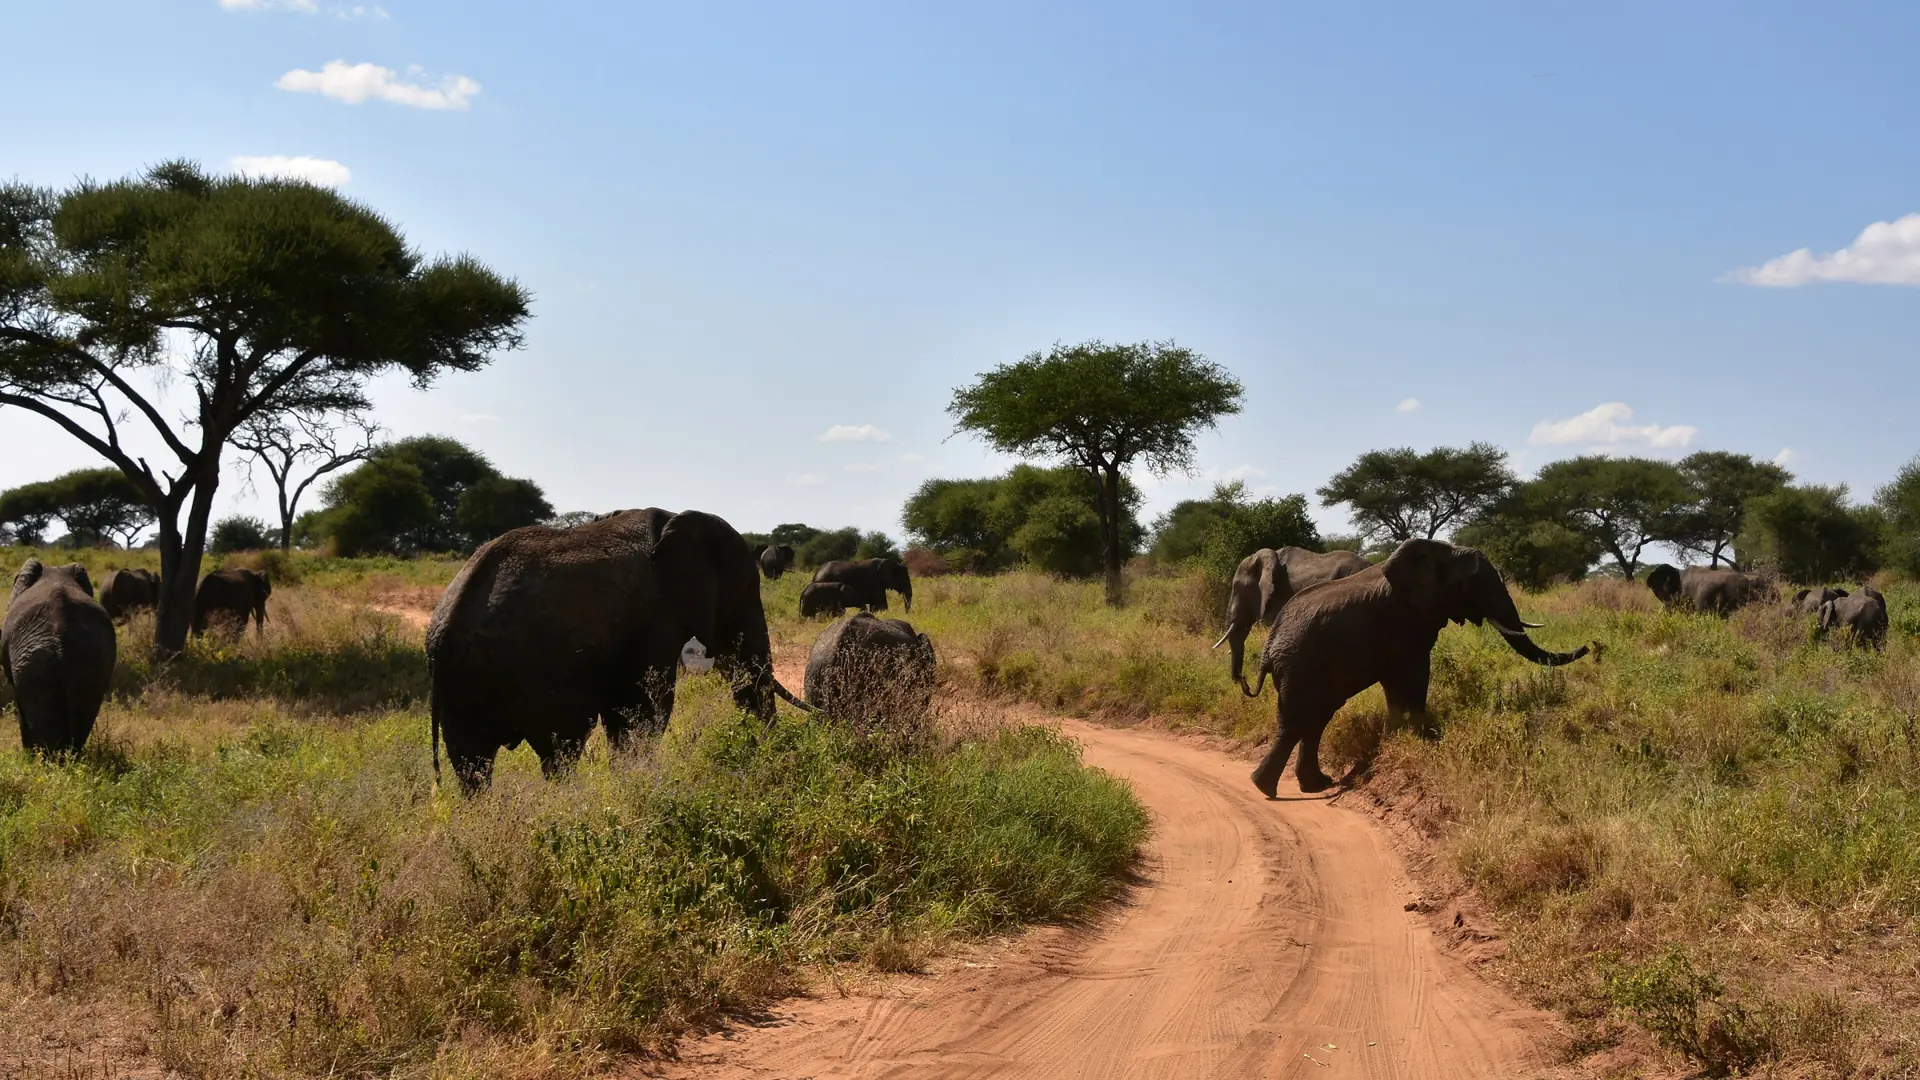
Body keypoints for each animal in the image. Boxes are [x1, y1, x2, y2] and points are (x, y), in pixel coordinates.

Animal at [426, 507, 810, 792]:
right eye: (746, 591)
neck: (675, 518)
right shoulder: (656, 615)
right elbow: (644, 709)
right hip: (533, 673)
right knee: (559, 748)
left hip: (464, 686)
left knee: (473, 764)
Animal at [1246, 538, 1591, 797]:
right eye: (1477, 585)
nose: (1588, 646)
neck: (1441, 552)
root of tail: (1269, 647)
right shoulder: (1406, 620)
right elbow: (1414, 673)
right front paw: (1422, 735)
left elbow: (1396, 684)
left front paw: (1398, 735)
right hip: (1300, 666)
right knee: (1298, 722)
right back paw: (1267, 788)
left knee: (1315, 720)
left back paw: (1311, 785)